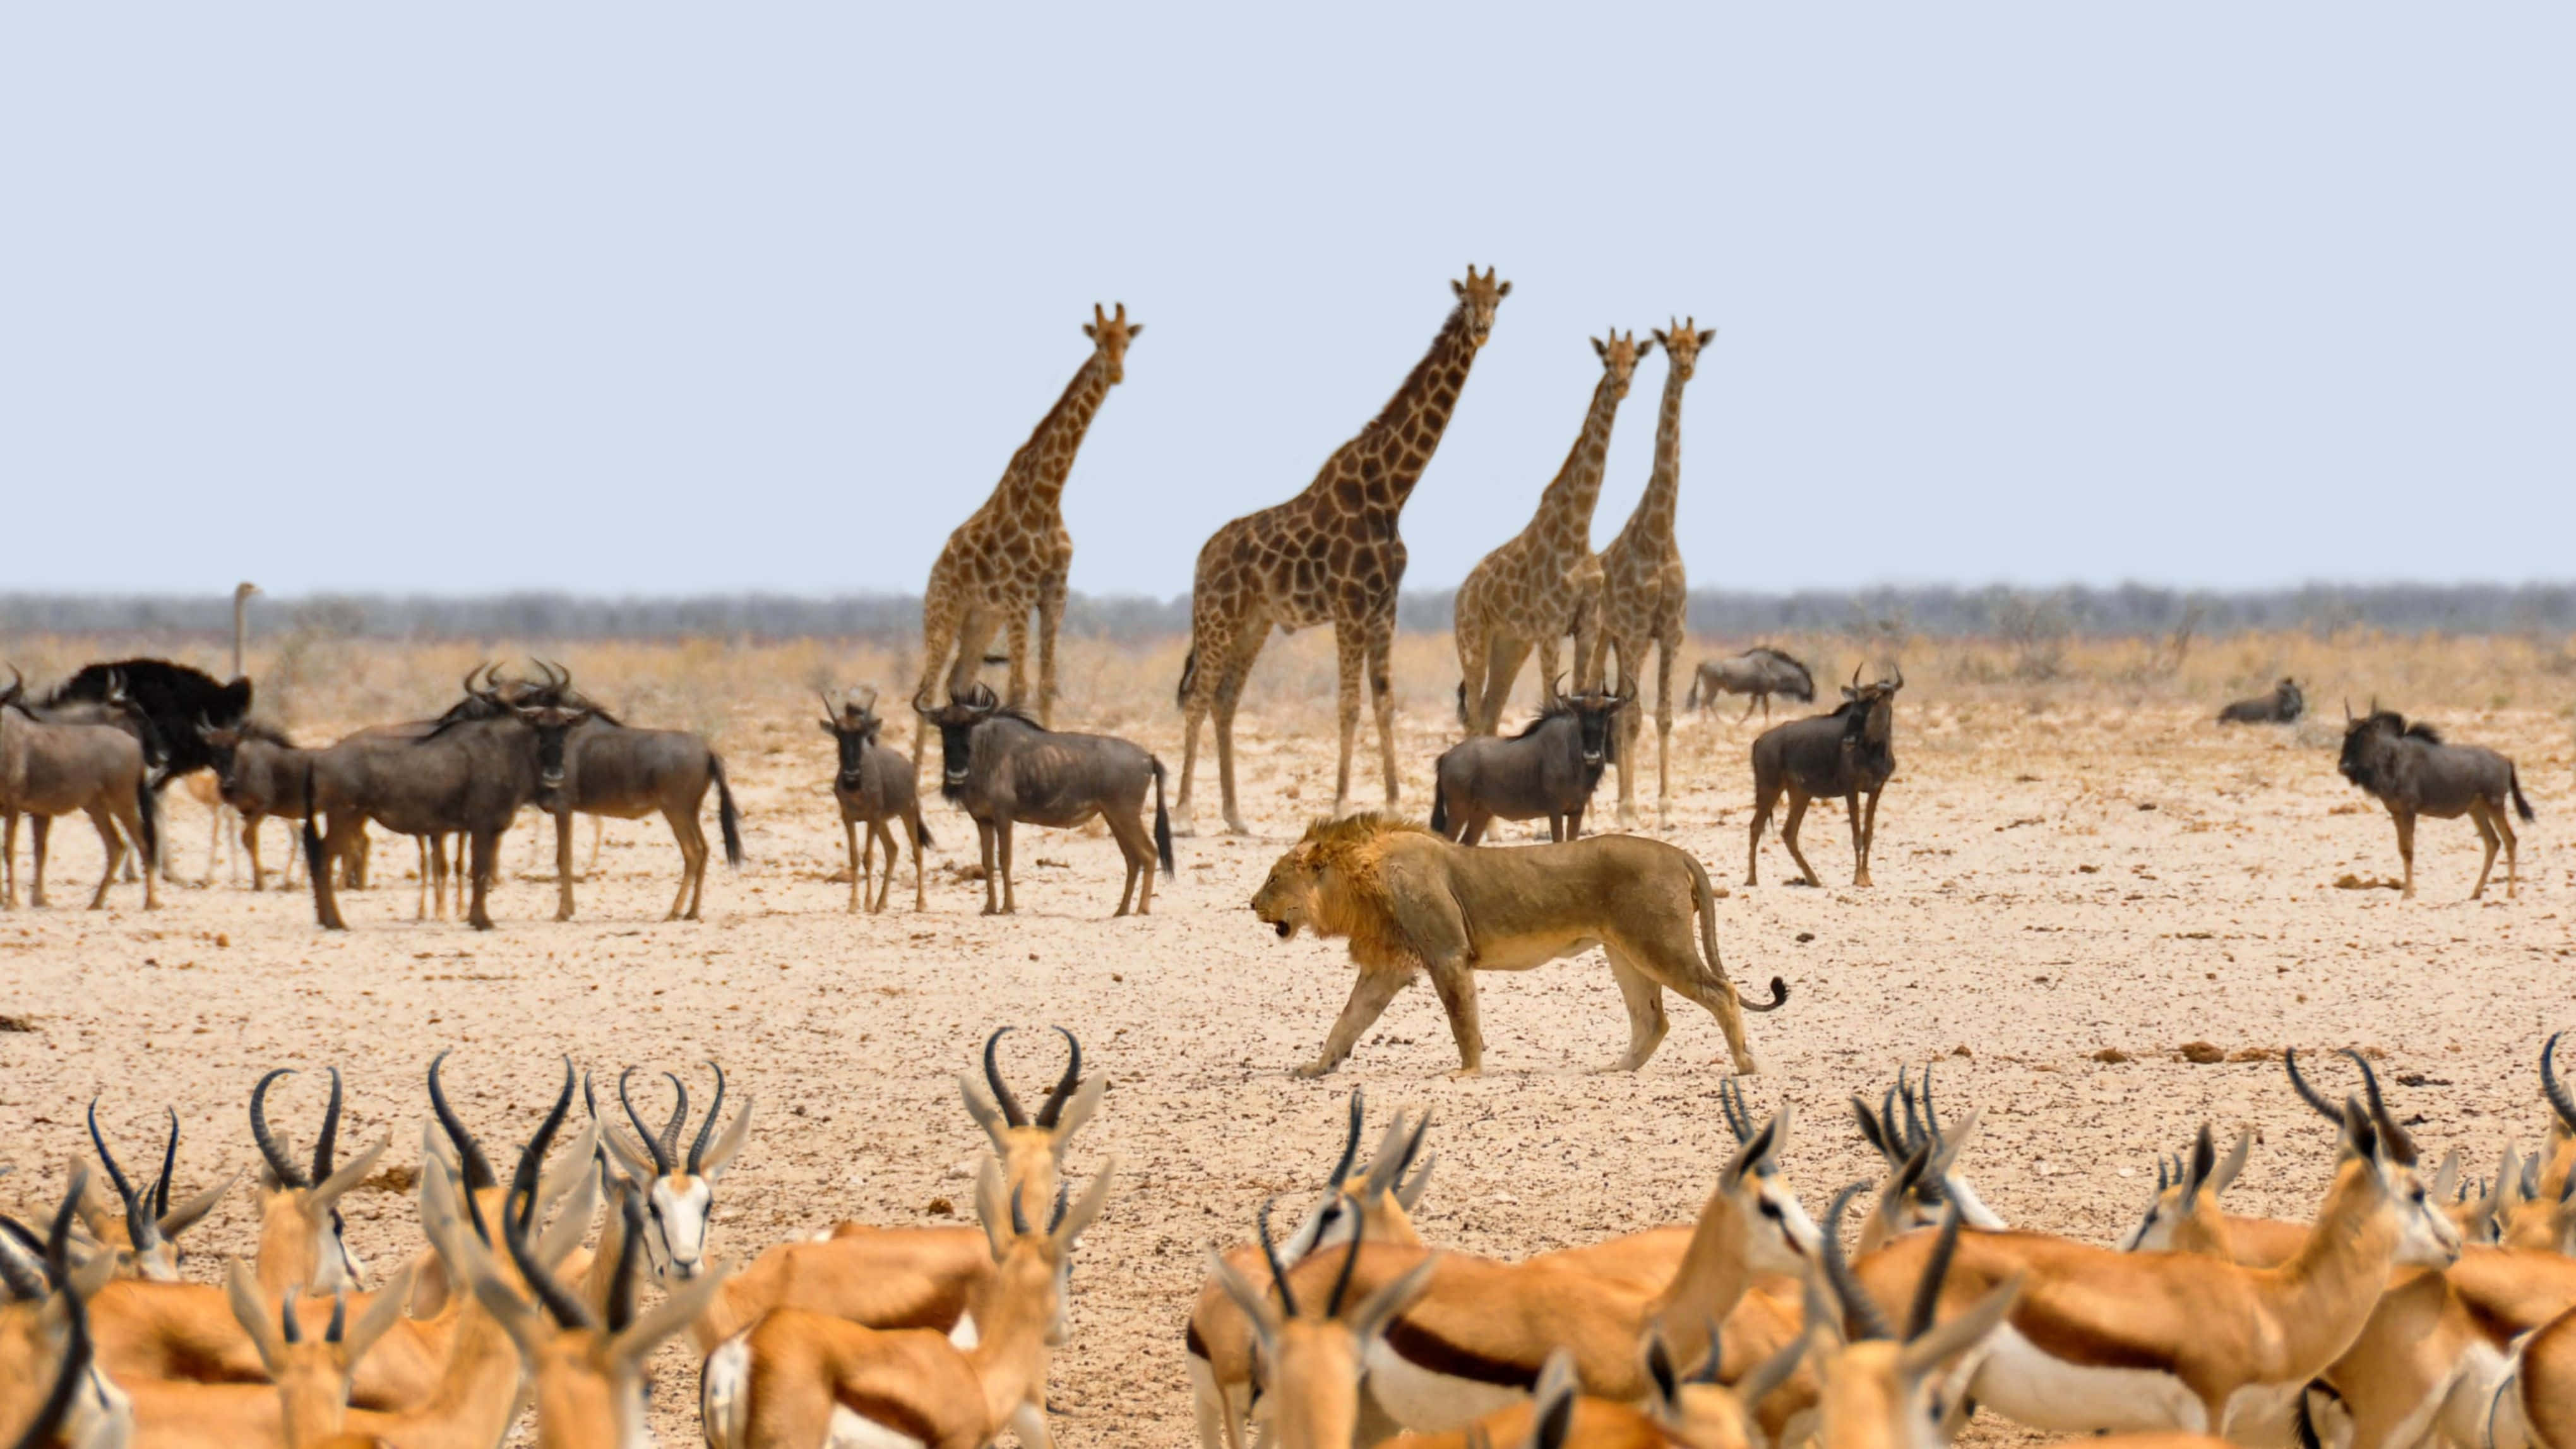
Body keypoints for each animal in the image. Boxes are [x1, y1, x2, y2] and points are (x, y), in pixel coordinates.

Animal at [1, 667, 161, 910]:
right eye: (138, 717)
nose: (160, 757)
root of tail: (134, 747)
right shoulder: (37, 812)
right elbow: (38, 851)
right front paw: (35, 899)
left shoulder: (16, 809)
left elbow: (13, 850)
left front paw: (14, 902)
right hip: (97, 808)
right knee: (117, 845)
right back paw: (97, 902)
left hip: (122, 804)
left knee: (141, 843)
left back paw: (151, 901)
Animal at [819, 686, 931, 913]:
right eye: (839, 735)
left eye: (861, 734)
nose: (851, 776)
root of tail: (908, 767)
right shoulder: (849, 818)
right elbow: (854, 857)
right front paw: (854, 904)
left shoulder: (872, 817)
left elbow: (868, 858)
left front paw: (868, 903)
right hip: (883, 821)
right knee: (893, 849)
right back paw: (882, 903)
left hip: (908, 812)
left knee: (917, 852)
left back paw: (920, 903)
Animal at [917, 682, 1175, 916]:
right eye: (943, 727)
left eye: (969, 725)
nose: (956, 772)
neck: (985, 754)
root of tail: (1148, 757)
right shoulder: (983, 820)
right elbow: (988, 862)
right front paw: (989, 908)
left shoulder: (1004, 816)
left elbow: (1005, 860)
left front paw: (1008, 908)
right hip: (1114, 817)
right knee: (1133, 859)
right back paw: (1121, 910)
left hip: (1126, 815)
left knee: (1149, 854)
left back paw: (1141, 909)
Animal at [1745, 667, 1901, 889]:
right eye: (1857, 701)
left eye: (1875, 700)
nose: (1849, 739)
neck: (1873, 749)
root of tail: (1760, 740)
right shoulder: (1851, 789)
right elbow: (1856, 836)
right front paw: (1858, 878)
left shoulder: (1876, 788)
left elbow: (1868, 834)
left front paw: (1867, 877)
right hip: (1770, 787)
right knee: (1756, 826)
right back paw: (1752, 879)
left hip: (1800, 793)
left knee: (1788, 833)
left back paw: (1813, 879)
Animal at [2336, 700, 2536, 899]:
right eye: (2346, 734)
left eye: (2366, 735)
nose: (2345, 767)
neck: (2391, 761)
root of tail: (2506, 761)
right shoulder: (2396, 812)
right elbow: (2403, 849)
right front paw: (2409, 890)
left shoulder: (2409, 811)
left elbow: (2409, 849)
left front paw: (2408, 892)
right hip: (2477, 810)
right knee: (2493, 843)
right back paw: (2476, 891)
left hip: (2495, 804)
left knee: (2510, 840)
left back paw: (2510, 891)